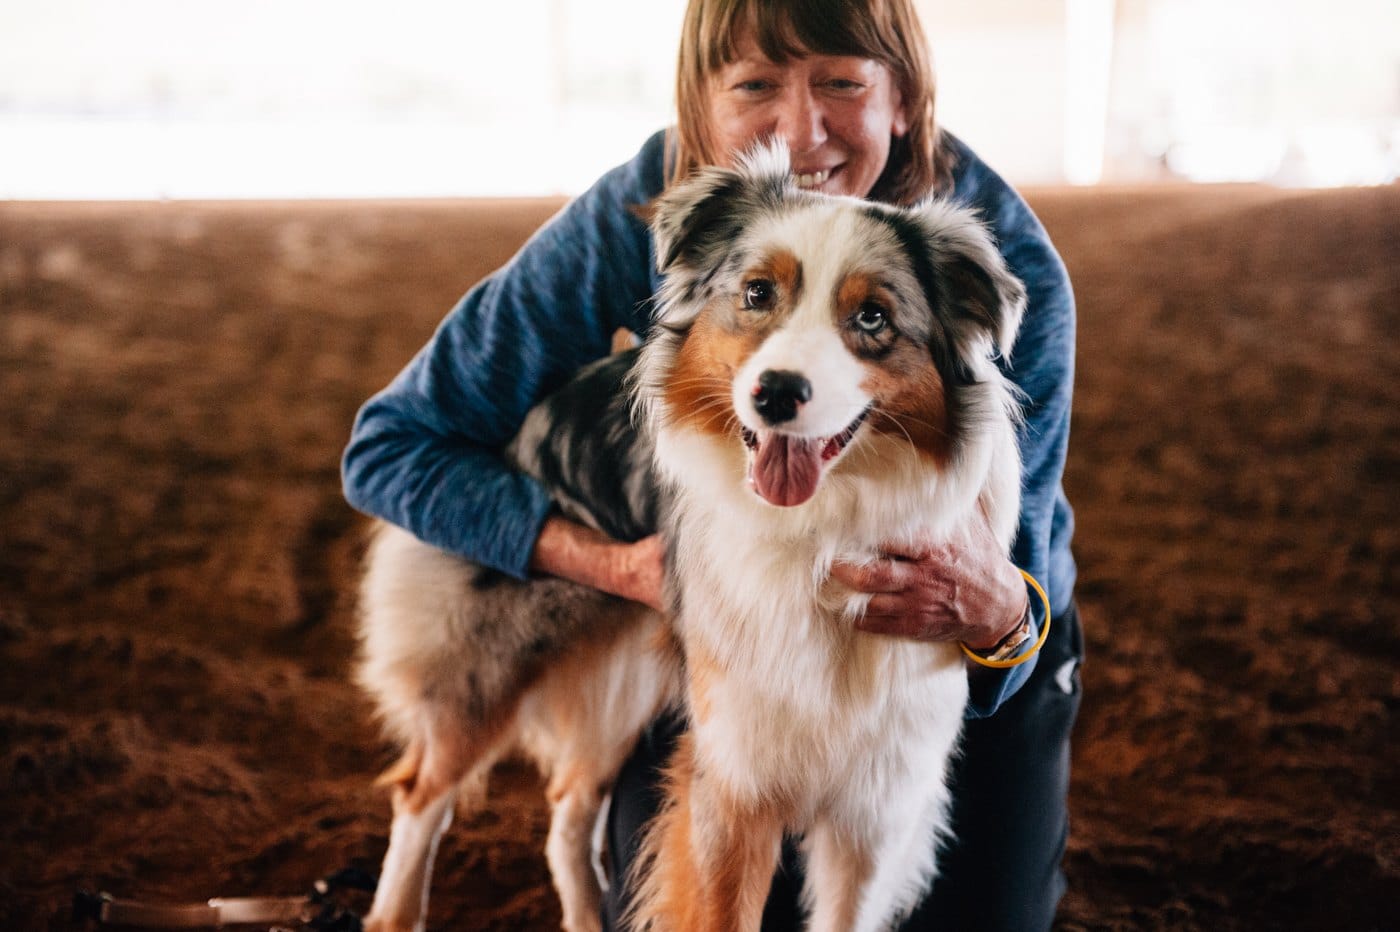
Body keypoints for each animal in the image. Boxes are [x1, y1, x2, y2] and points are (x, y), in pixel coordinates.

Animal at [355, 143, 1024, 929]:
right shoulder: (731, 782)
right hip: (488, 664)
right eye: (758, 293)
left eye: (873, 317)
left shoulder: (876, 809)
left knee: (568, 808)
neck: (821, 531)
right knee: (422, 796)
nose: (777, 392)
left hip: (624, 681)